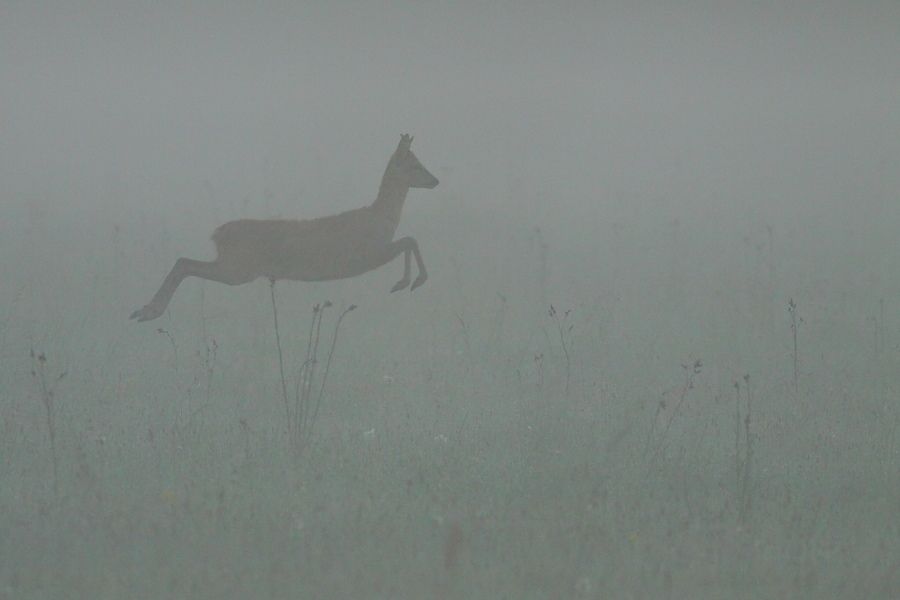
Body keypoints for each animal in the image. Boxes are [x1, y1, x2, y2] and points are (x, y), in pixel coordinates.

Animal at [130, 135, 440, 324]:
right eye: (415, 165)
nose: (435, 181)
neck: (382, 218)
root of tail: (217, 234)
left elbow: (409, 240)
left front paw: (408, 281)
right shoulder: (367, 255)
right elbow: (409, 240)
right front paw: (409, 282)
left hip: (234, 266)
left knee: (184, 261)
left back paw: (144, 311)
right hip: (237, 269)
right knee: (185, 263)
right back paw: (149, 310)